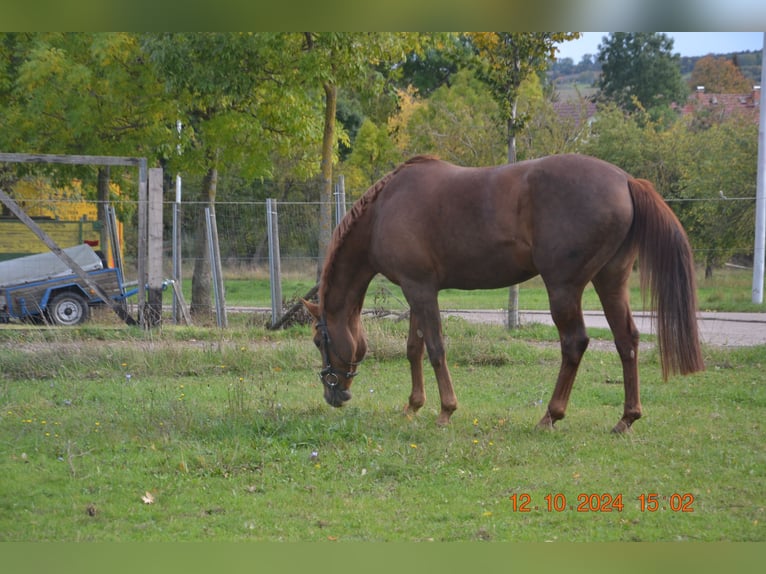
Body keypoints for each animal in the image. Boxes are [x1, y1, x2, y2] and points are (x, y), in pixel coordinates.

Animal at [304, 155, 704, 434]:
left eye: (318, 340)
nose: (333, 393)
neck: (384, 210)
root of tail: (625, 180)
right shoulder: (416, 288)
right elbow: (414, 348)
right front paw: (413, 406)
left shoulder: (420, 290)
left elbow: (435, 349)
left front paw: (445, 410)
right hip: (611, 281)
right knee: (627, 340)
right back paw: (626, 418)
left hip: (564, 288)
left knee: (574, 342)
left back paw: (550, 416)